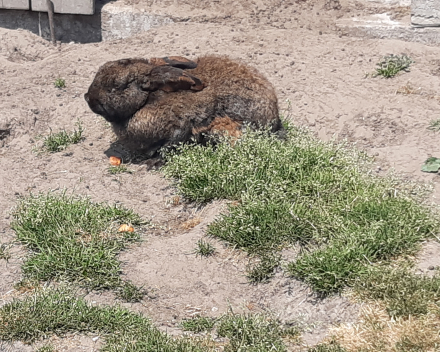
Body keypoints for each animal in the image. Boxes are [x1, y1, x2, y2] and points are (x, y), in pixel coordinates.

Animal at [84, 55, 280, 155]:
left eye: (117, 87)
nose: (88, 98)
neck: (148, 98)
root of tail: (273, 118)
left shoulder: (181, 123)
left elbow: (174, 139)